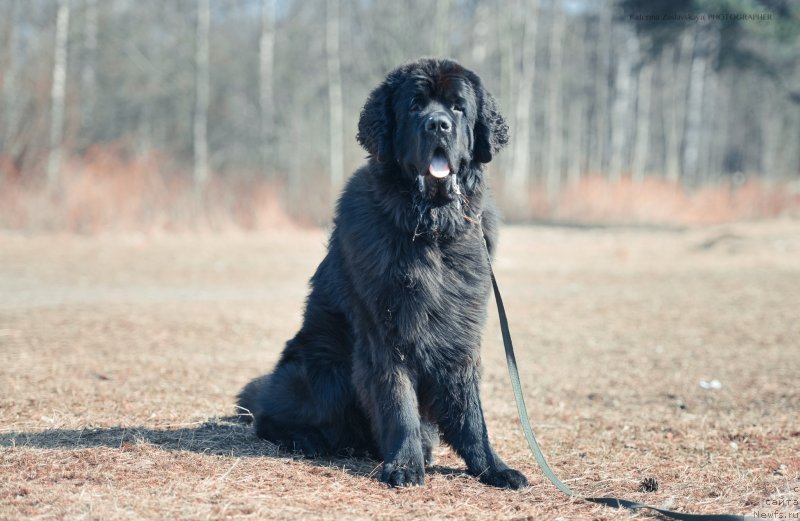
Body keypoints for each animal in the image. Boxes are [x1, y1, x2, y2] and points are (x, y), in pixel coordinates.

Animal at [234, 59, 528, 490]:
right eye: (415, 106)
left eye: (458, 108)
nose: (438, 125)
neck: (430, 228)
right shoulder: (384, 330)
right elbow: (397, 400)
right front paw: (404, 465)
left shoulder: (460, 331)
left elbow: (468, 409)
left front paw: (492, 467)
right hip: (318, 372)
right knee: (268, 414)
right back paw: (307, 439)